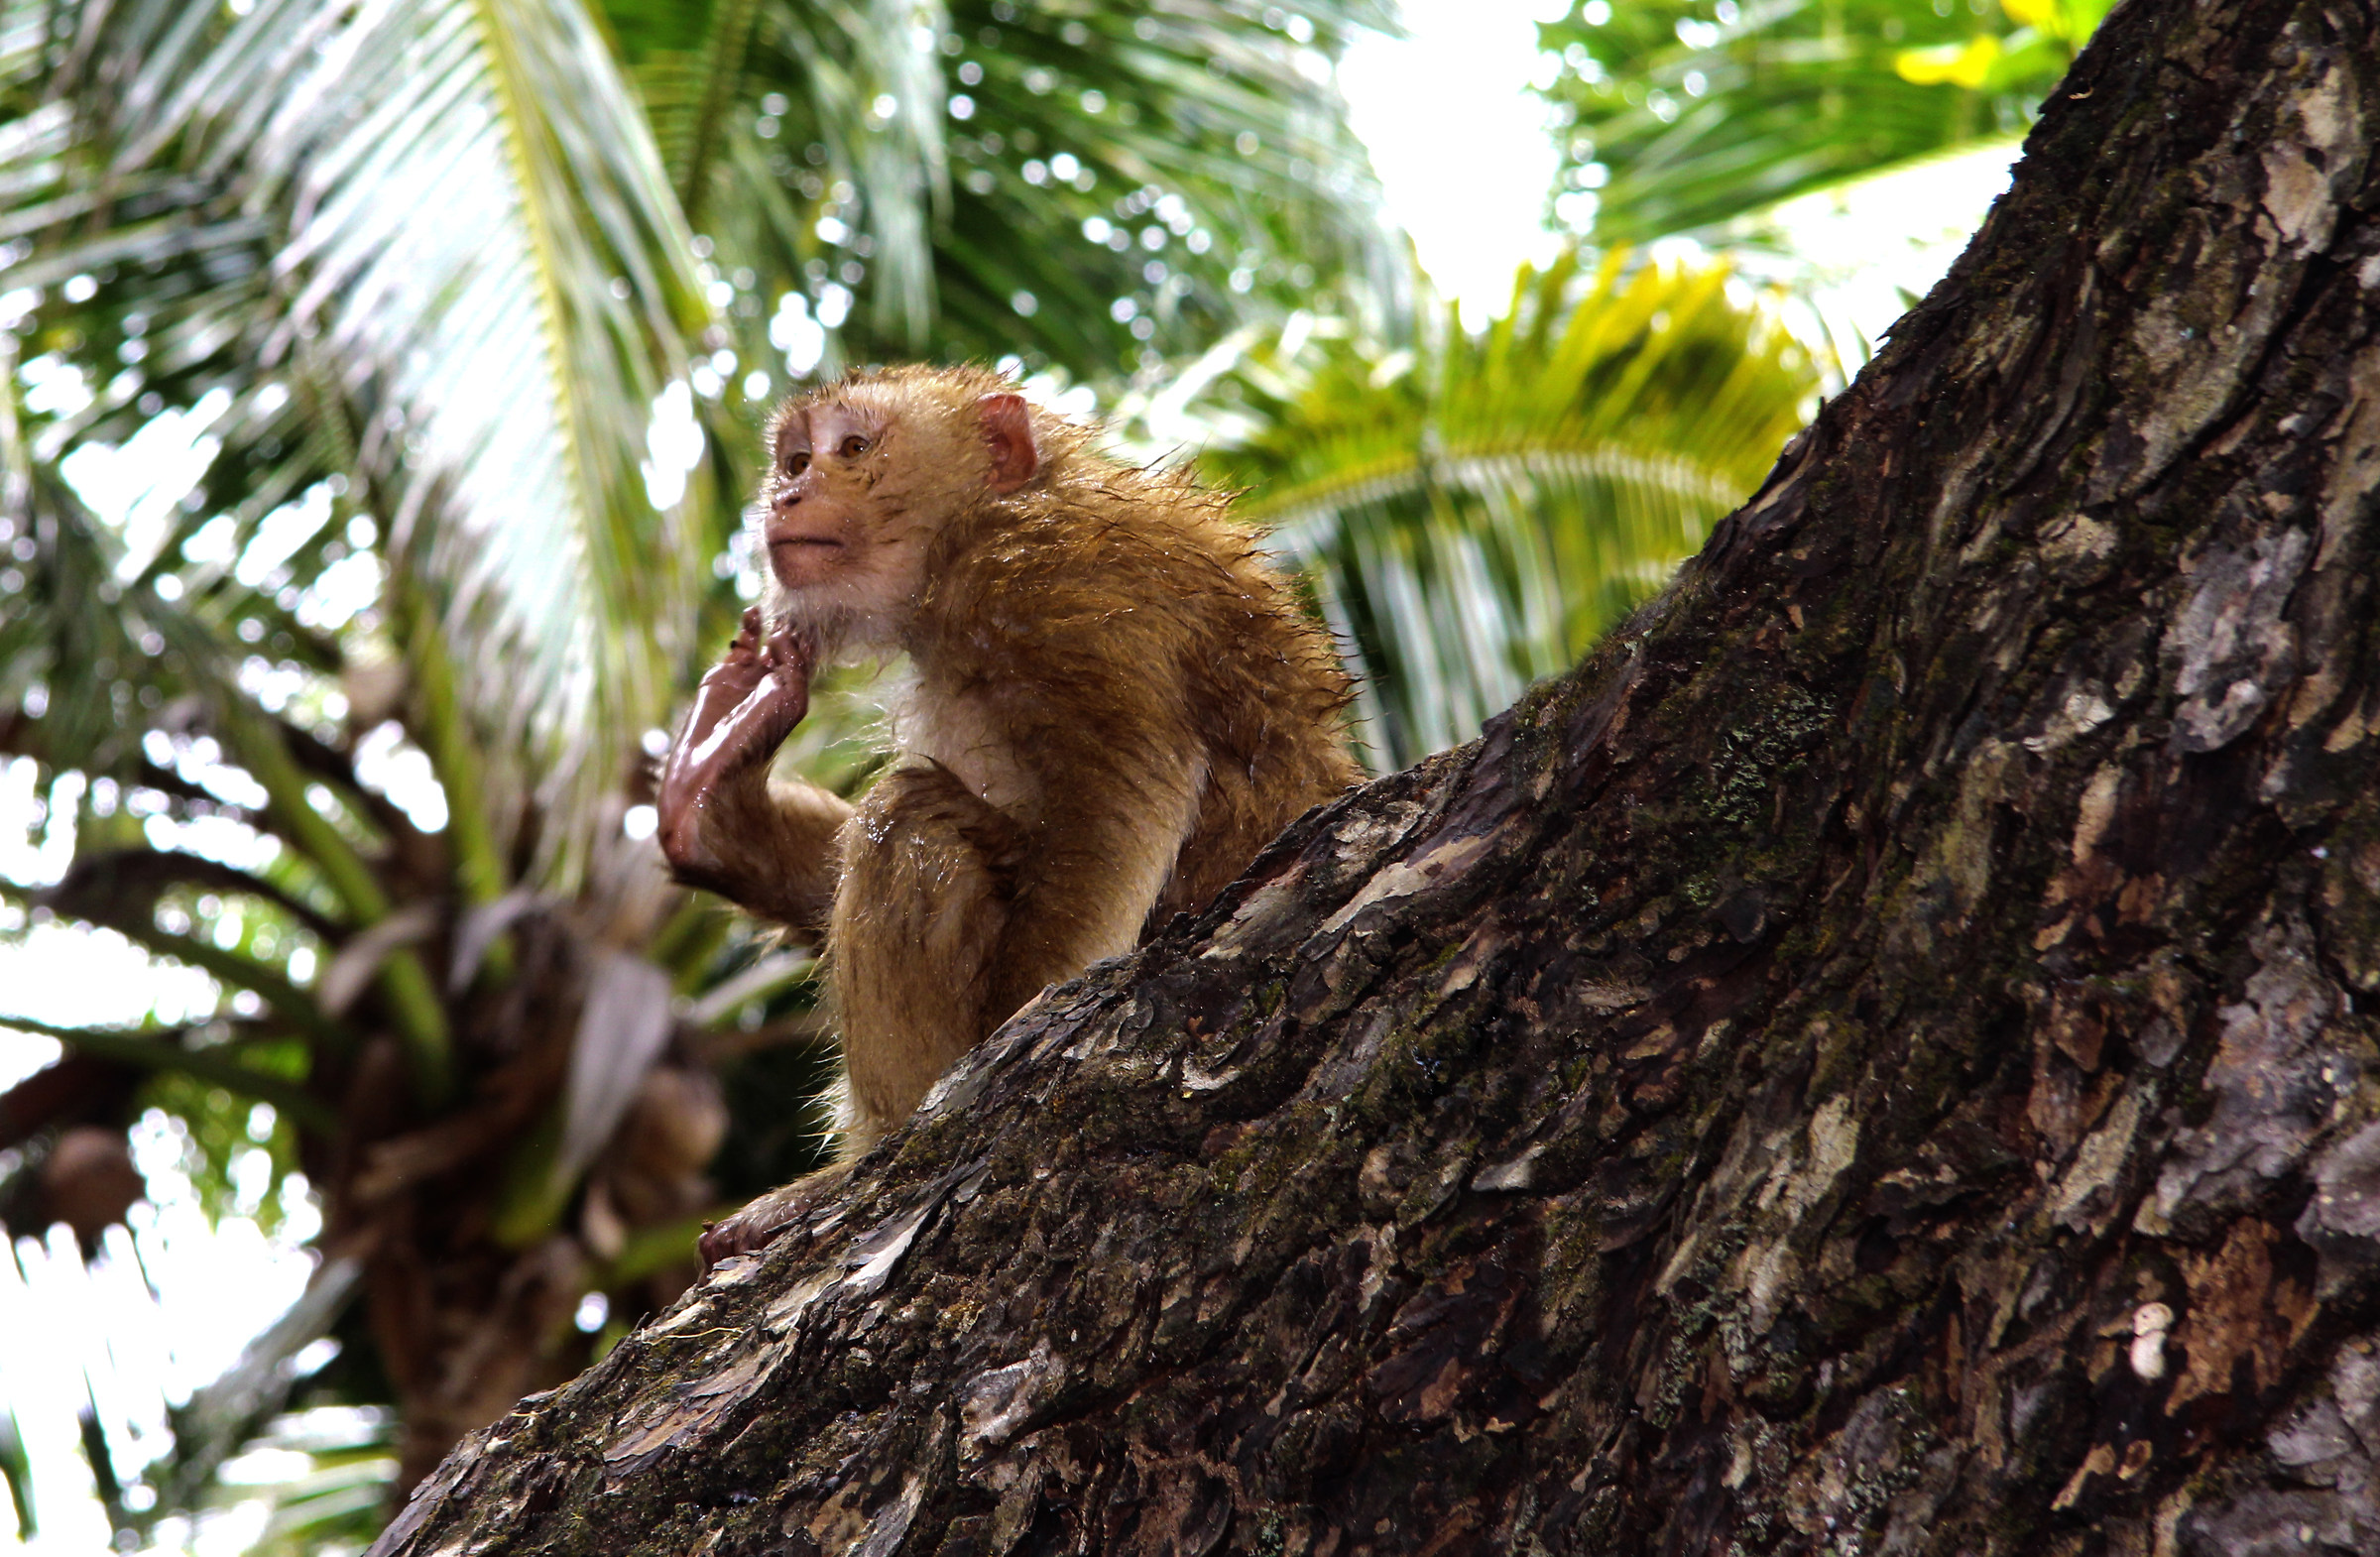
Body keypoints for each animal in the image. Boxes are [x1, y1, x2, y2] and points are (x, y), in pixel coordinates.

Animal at [658, 364, 1358, 1264]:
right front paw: (713, 810)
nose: (788, 494)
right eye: (796, 458)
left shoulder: (1044, 584)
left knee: (911, 820)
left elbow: (1125, 787)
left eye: (854, 448)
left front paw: (1011, 1040)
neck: (965, 534)